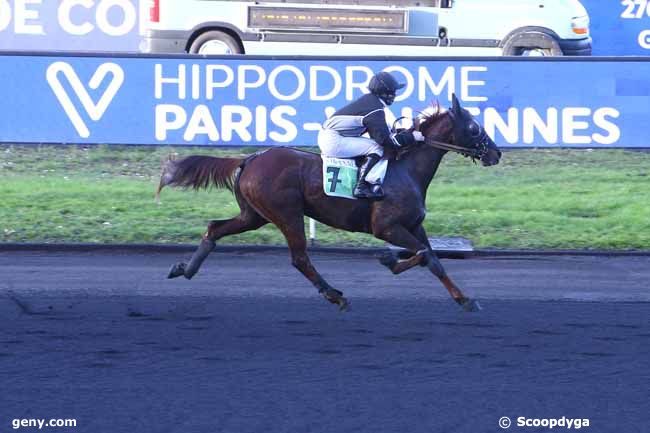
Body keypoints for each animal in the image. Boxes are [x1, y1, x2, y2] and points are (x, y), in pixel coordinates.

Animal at [158, 94, 502, 310]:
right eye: (474, 127)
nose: (496, 153)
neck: (406, 169)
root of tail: (250, 159)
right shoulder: (387, 227)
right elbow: (423, 255)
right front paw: (388, 259)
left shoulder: (414, 226)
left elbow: (433, 260)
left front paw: (465, 300)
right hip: (286, 214)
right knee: (300, 258)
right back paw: (334, 295)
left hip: (254, 215)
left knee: (214, 229)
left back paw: (185, 269)